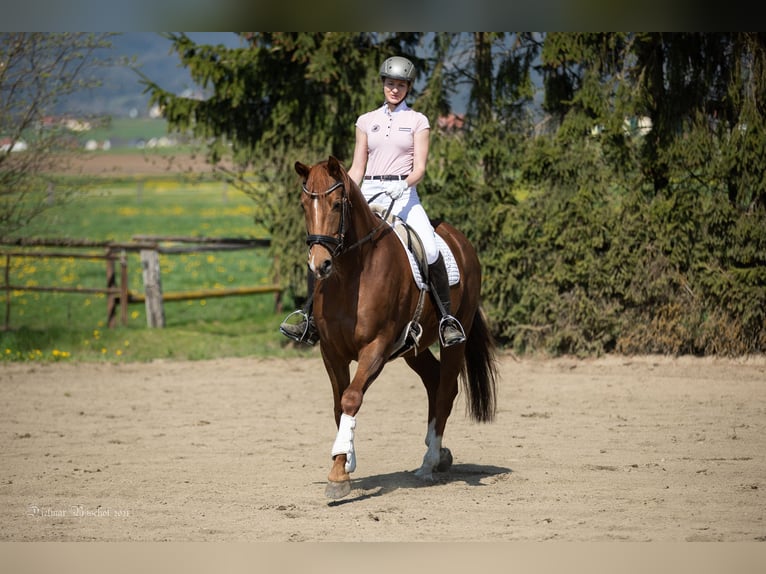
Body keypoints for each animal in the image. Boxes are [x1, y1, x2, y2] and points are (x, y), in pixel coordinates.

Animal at [294, 156, 498, 500]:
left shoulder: (376, 347)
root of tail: (459, 238)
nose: (319, 265)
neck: (351, 276)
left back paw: (429, 462)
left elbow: (351, 398)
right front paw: (343, 462)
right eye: (304, 205)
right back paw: (439, 453)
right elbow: (338, 406)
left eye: (336, 205)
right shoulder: (331, 352)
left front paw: (339, 475)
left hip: (454, 337)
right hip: (411, 349)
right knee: (433, 381)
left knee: (446, 388)